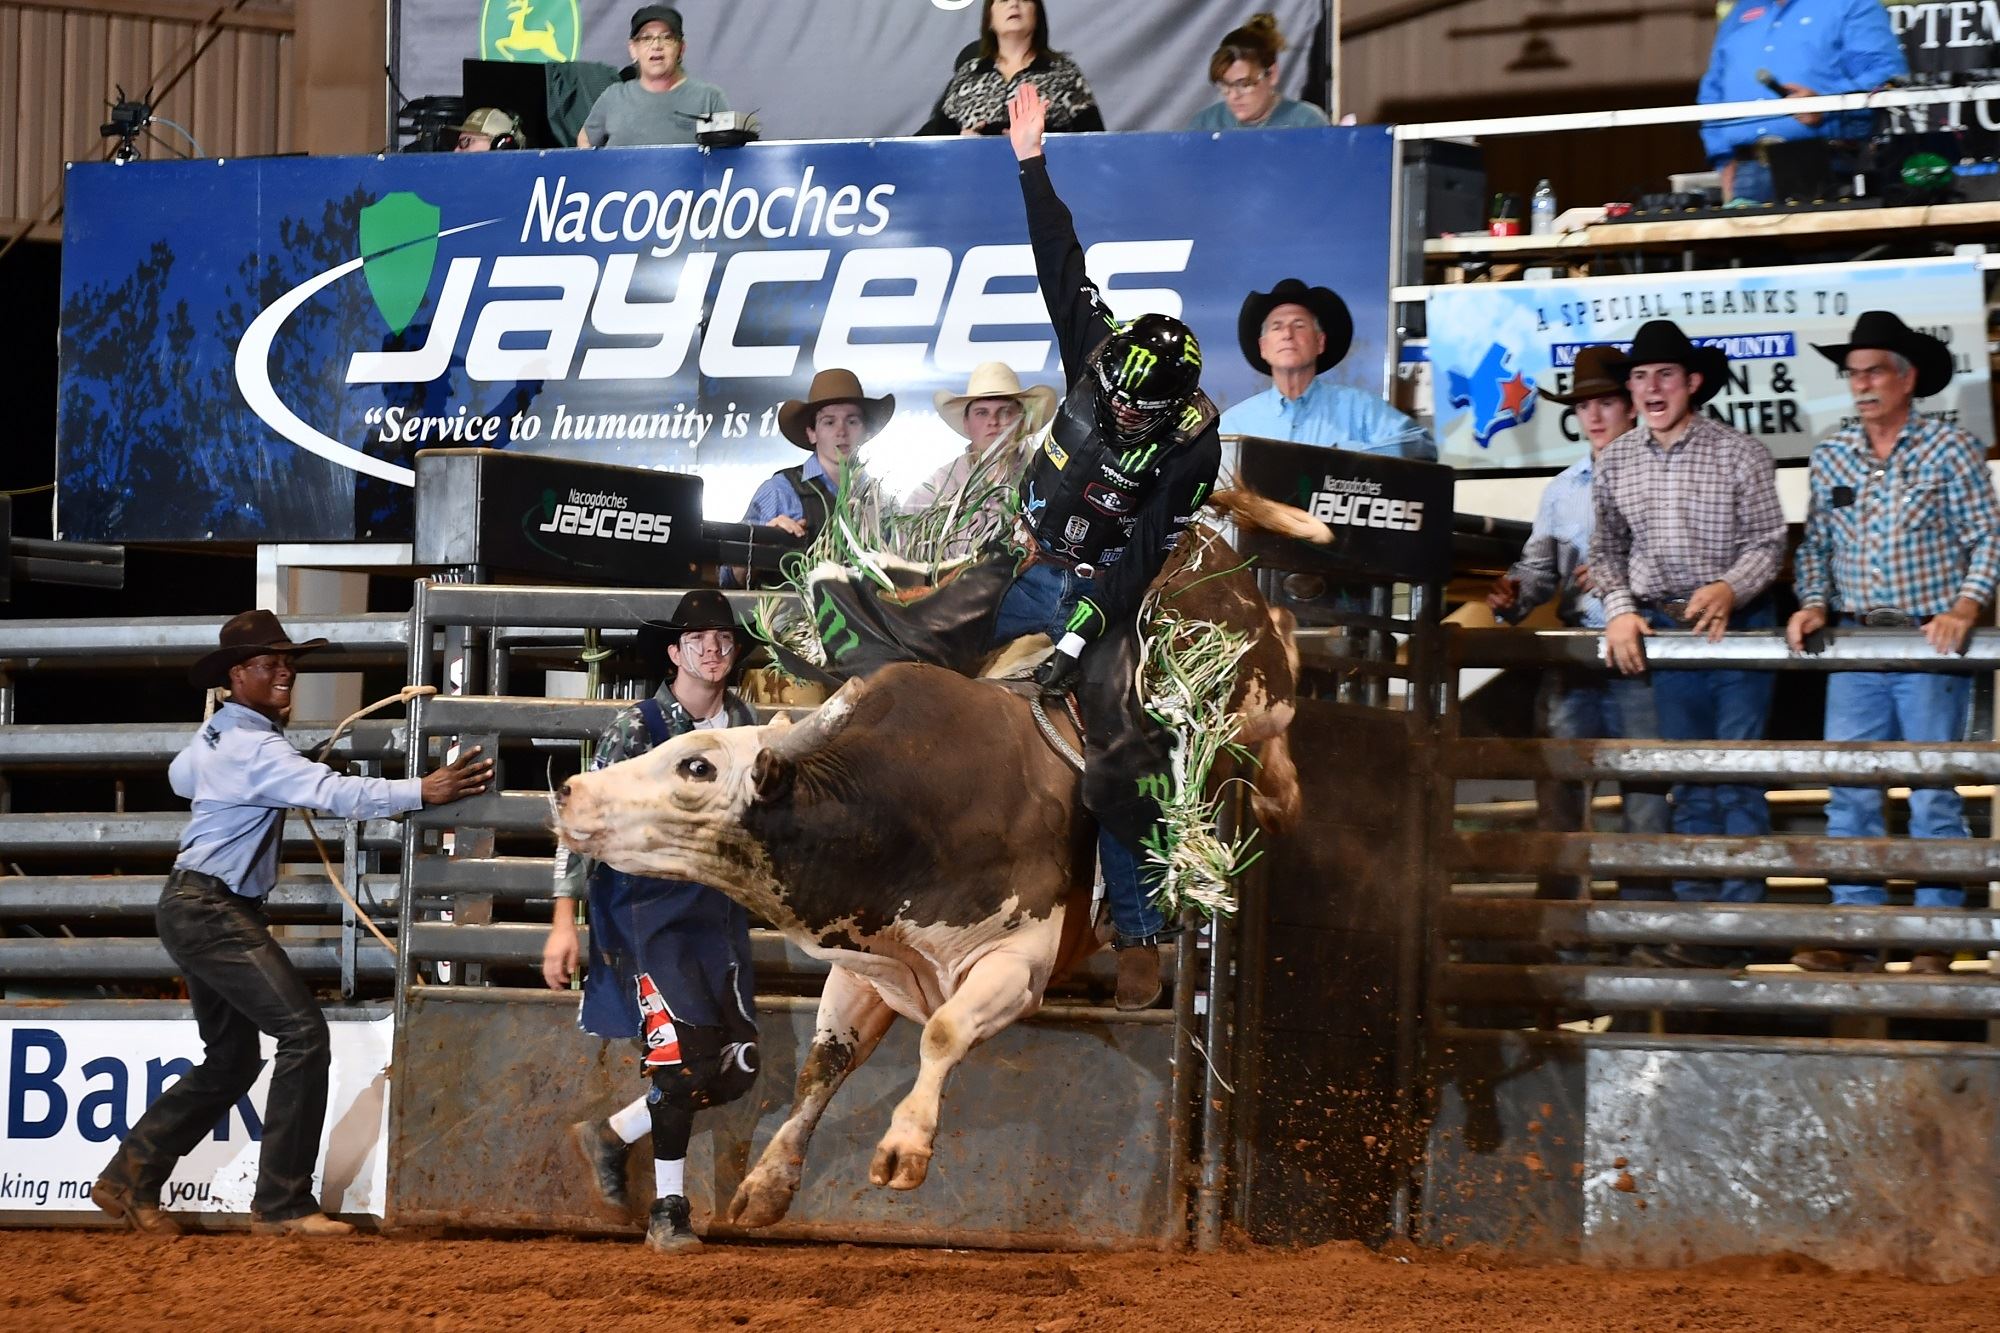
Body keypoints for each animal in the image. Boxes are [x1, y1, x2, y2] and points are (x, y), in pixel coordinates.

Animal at [556, 498, 1320, 1224]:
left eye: (697, 767)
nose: (570, 790)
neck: (909, 809)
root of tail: (1203, 542)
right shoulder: (871, 963)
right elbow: (825, 1062)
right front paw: (768, 1183)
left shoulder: (1018, 962)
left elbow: (946, 1030)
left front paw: (905, 1148)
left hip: (1257, 692)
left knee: (1282, 663)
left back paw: (1281, 794)